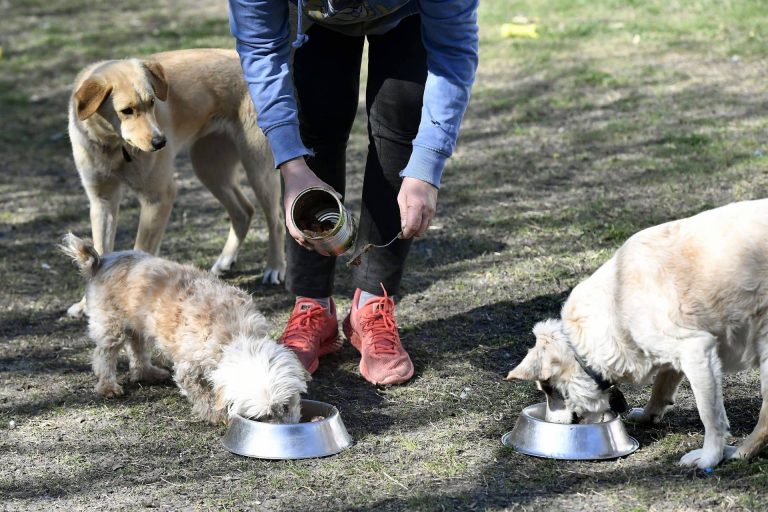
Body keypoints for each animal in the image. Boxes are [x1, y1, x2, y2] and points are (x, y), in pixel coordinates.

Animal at [60, 233, 308, 424]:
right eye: (262, 417)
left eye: (286, 406)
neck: (235, 333)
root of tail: (101, 261)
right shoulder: (188, 369)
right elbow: (202, 395)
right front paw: (217, 416)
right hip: (111, 326)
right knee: (103, 354)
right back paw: (108, 386)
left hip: (139, 324)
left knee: (137, 349)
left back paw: (147, 373)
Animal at [67, 50, 284, 318]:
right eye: (126, 111)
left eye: (152, 102)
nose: (161, 142)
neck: (114, 146)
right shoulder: (102, 201)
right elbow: (98, 251)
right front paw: (86, 304)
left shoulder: (158, 198)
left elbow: (140, 250)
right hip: (210, 169)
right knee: (244, 211)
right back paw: (224, 261)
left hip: (258, 168)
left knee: (277, 220)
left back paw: (275, 268)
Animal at [508, 199, 768, 468]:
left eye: (550, 390)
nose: (551, 422)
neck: (615, 304)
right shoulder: (673, 352)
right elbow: (661, 386)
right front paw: (647, 415)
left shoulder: (697, 351)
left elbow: (710, 416)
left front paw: (709, 457)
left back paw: (736, 452)